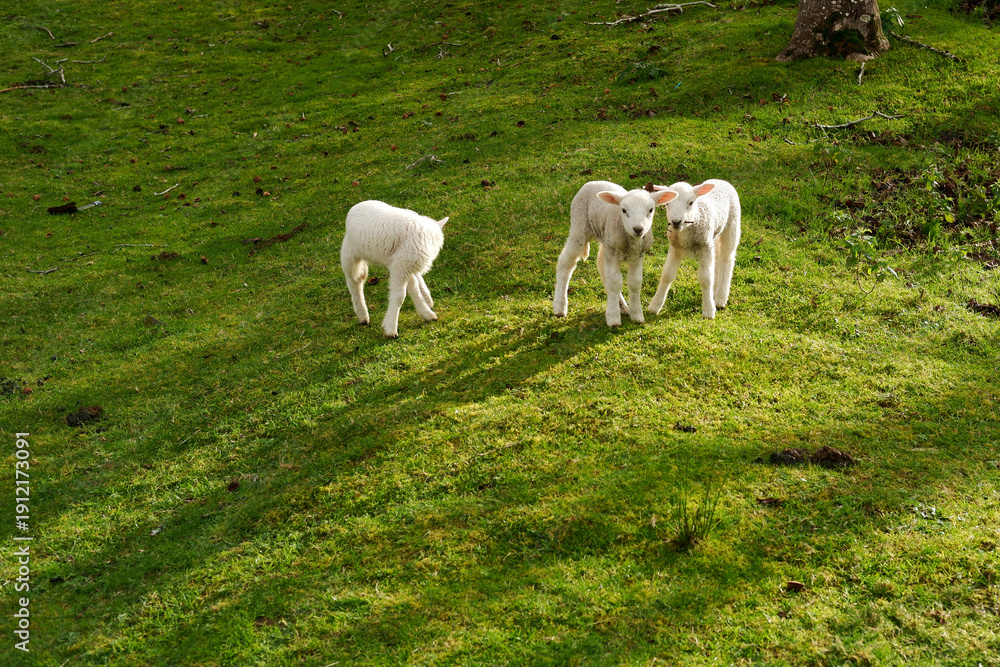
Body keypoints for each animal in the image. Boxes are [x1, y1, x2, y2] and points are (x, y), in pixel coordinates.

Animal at [340, 200, 449, 338]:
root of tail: (355, 207)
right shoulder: (401, 266)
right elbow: (399, 296)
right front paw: (391, 329)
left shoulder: (404, 265)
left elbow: (413, 288)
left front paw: (427, 313)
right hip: (350, 254)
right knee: (355, 282)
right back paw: (363, 315)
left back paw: (427, 302)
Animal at [553, 181, 677, 326]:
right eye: (624, 210)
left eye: (651, 210)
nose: (638, 229)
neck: (631, 242)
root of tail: (593, 181)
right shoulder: (612, 253)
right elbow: (615, 282)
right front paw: (613, 318)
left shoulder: (637, 256)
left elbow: (634, 283)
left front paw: (637, 315)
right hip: (580, 227)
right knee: (566, 262)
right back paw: (560, 306)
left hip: (605, 240)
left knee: (601, 265)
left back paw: (622, 306)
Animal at [647, 179, 741, 320]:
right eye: (668, 204)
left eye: (691, 202)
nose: (676, 222)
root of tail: (721, 180)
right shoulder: (675, 248)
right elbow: (667, 275)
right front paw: (655, 305)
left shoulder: (705, 248)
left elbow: (706, 279)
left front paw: (708, 311)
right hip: (712, 237)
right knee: (717, 259)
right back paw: (715, 291)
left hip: (732, 224)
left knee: (727, 258)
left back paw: (720, 298)